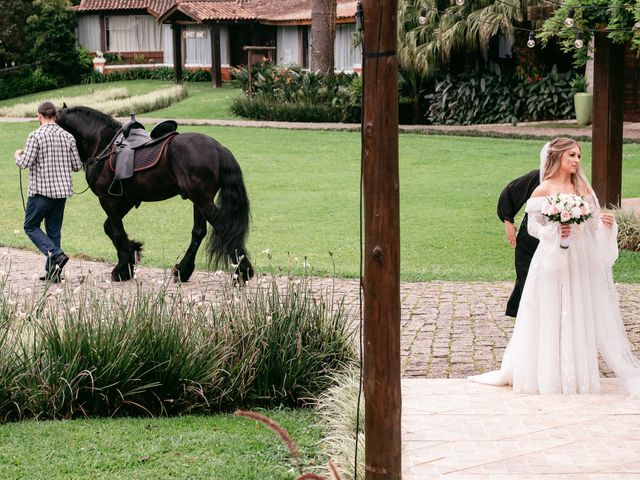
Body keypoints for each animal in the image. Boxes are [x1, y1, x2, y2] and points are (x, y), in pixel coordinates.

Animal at [56, 106, 252, 282]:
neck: (103, 144)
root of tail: (217, 146)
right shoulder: (125, 200)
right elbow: (110, 228)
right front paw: (132, 252)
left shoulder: (107, 199)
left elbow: (117, 231)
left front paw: (123, 269)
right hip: (199, 201)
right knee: (198, 232)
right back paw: (184, 270)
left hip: (202, 200)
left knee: (223, 227)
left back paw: (242, 271)